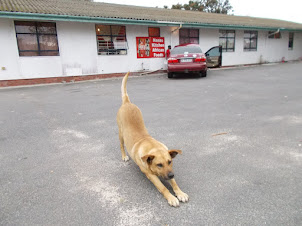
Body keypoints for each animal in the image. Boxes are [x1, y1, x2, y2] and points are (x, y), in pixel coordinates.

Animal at [116, 72, 189, 207]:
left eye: (170, 161)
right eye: (159, 165)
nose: (172, 174)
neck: (152, 147)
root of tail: (127, 102)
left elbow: (174, 183)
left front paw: (180, 193)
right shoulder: (151, 175)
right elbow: (163, 187)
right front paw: (171, 197)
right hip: (121, 134)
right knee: (121, 145)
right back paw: (124, 156)